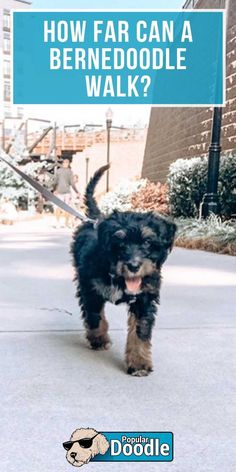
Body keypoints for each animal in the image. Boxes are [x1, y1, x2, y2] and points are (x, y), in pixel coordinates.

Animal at [71, 165, 175, 376]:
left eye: (147, 242)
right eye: (120, 242)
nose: (134, 266)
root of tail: (95, 218)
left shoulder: (144, 298)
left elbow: (140, 331)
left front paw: (139, 363)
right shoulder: (90, 289)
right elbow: (94, 316)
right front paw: (98, 339)